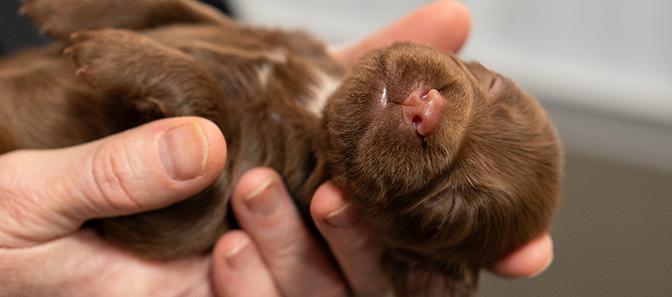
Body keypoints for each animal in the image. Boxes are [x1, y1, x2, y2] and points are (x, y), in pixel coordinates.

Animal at [1, 1, 560, 294]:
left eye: (449, 211)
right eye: (493, 84)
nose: (428, 107)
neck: (316, 107)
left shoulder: (187, 220)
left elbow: (211, 116)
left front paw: (113, 54)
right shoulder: (277, 37)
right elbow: (193, 11)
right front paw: (67, 11)